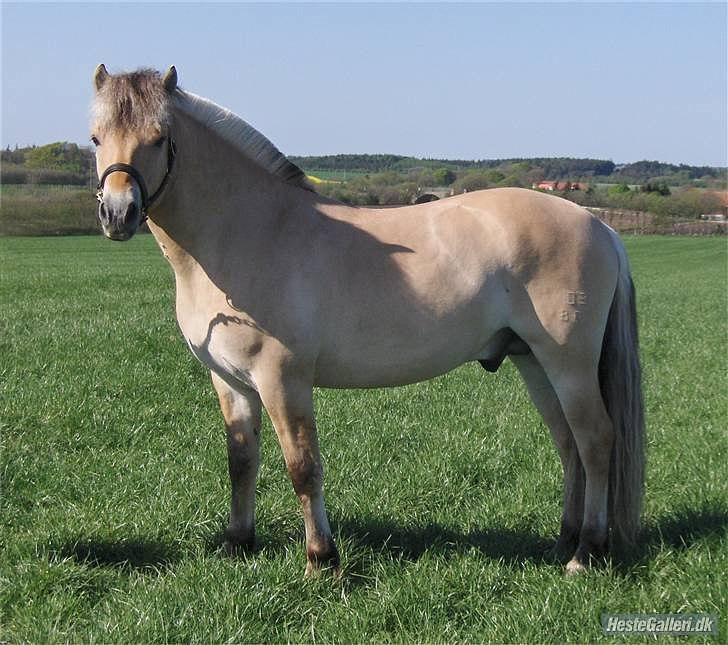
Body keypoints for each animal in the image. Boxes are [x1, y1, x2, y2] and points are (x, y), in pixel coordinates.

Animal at [89, 64, 644, 572]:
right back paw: (563, 542)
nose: (118, 214)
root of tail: (598, 225)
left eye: (159, 139)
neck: (251, 232)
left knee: (596, 441)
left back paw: (586, 554)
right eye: (95, 138)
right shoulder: (230, 381)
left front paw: (322, 560)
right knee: (569, 446)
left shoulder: (282, 380)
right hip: (532, 361)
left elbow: (303, 468)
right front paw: (237, 545)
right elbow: (241, 461)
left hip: (568, 363)